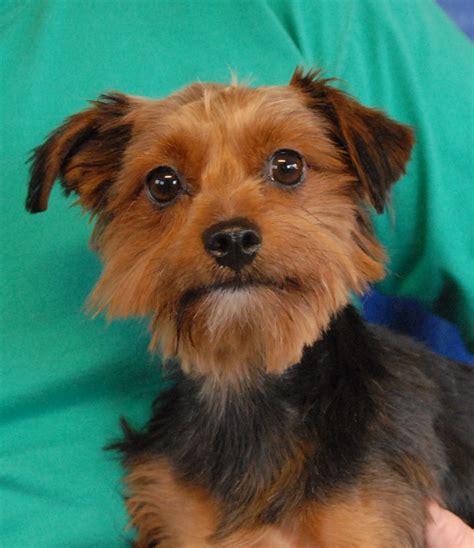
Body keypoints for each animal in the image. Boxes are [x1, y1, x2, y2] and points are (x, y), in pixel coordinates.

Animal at [27, 70, 472, 544]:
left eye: (288, 166)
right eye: (162, 183)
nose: (233, 239)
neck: (244, 375)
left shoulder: (367, 526)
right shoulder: (177, 518)